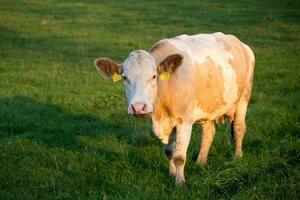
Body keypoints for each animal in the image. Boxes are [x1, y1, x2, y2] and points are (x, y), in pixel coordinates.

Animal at [92, 32, 254, 186]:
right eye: (125, 77)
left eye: (154, 76)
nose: (138, 107)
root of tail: (241, 44)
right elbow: (169, 151)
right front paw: (171, 174)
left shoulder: (184, 121)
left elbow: (179, 157)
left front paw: (180, 182)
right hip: (206, 106)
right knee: (209, 132)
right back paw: (200, 162)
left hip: (244, 96)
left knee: (239, 128)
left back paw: (237, 157)